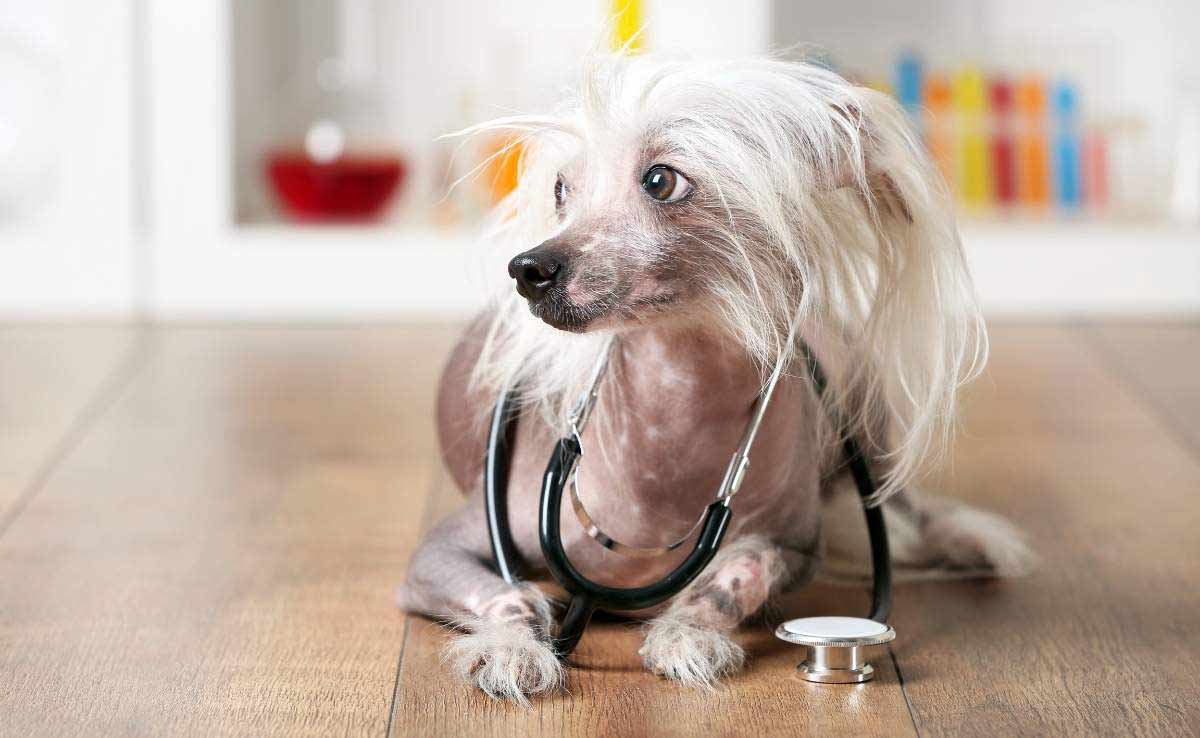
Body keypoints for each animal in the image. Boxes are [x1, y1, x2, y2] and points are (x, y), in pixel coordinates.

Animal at [396, 50, 1032, 705]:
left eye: (661, 181)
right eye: (560, 189)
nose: (528, 269)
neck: (673, 416)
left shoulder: (798, 546)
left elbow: (743, 568)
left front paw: (689, 632)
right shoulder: (440, 550)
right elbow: (502, 594)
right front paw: (512, 645)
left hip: (868, 420)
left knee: (903, 506)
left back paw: (968, 539)